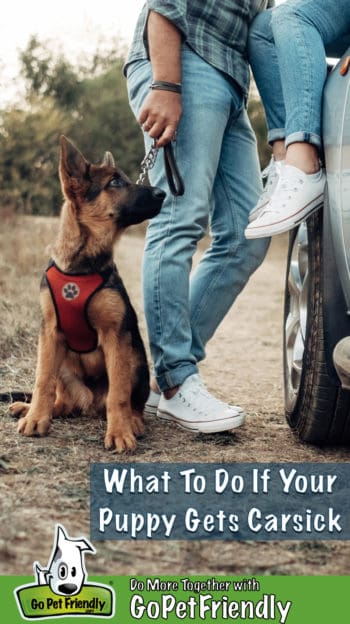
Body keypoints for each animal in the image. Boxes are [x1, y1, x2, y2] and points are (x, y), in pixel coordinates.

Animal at [9, 136, 165, 450]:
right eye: (115, 182)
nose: (163, 193)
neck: (81, 265)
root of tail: (90, 402)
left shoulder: (115, 336)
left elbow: (118, 395)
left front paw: (119, 433)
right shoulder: (50, 333)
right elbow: (42, 381)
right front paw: (35, 418)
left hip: (135, 360)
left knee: (130, 401)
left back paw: (133, 422)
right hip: (64, 363)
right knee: (62, 400)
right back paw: (32, 409)